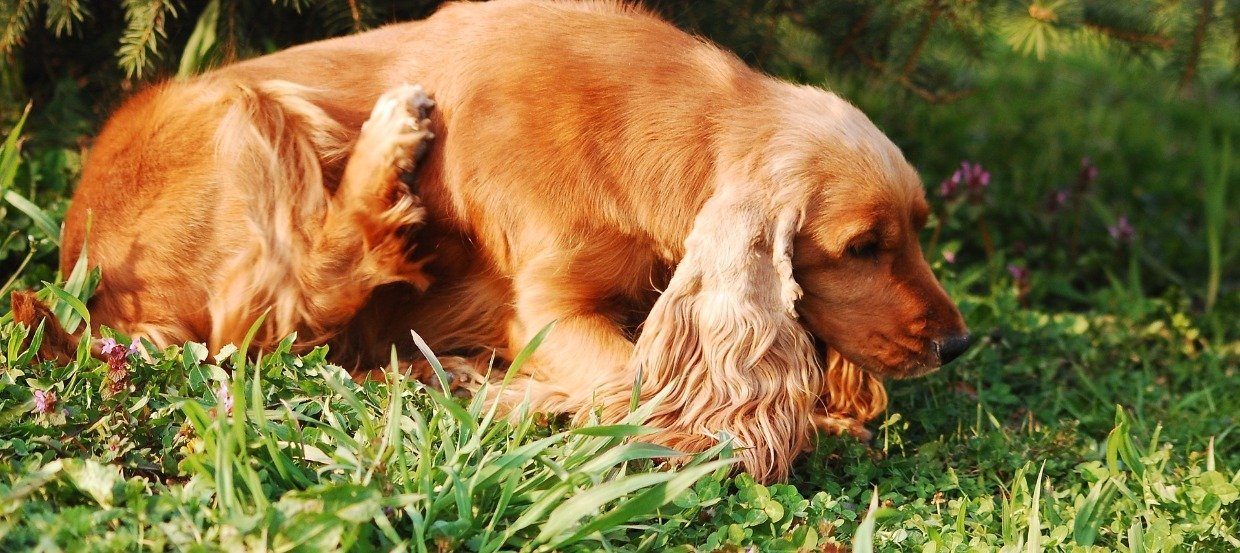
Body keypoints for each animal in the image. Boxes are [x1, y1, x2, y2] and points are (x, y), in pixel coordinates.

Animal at [38, 2, 972, 481]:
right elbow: (637, 390)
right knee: (284, 310)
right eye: (861, 246)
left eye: (918, 231)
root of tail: (82, 275)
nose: (958, 343)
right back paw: (392, 144)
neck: (664, 127)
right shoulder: (547, 310)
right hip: (247, 113)